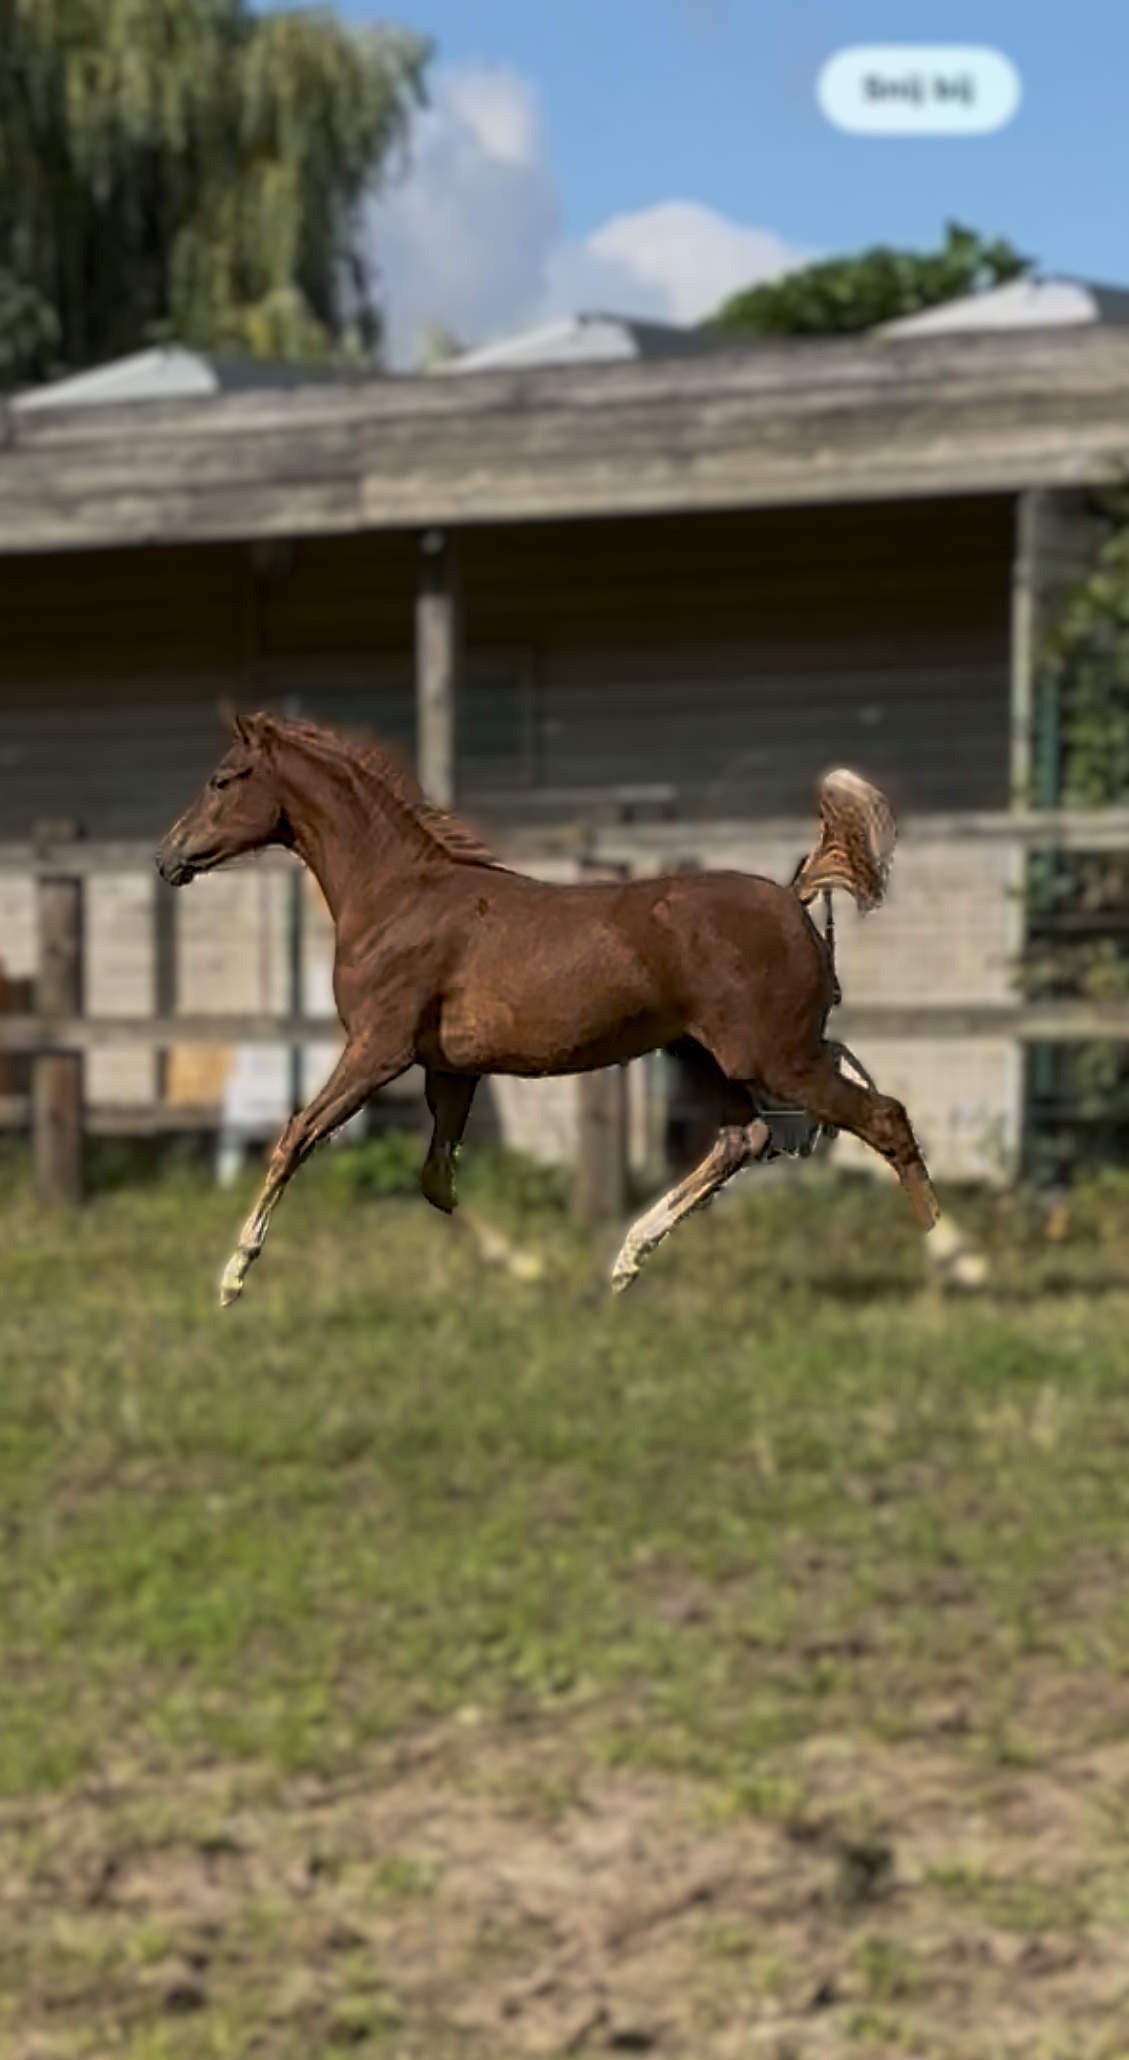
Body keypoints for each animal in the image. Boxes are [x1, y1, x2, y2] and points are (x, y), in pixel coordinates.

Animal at [155, 713, 938, 1308]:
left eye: (222, 779)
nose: (167, 859)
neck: (398, 896)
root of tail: (794, 896)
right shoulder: (450, 1069)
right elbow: (437, 1181)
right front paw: (526, 1268)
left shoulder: (378, 1048)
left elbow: (297, 1135)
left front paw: (233, 1277)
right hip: (714, 1056)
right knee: (744, 1140)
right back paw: (626, 1260)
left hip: (777, 1056)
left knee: (882, 1117)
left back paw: (941, 1260)